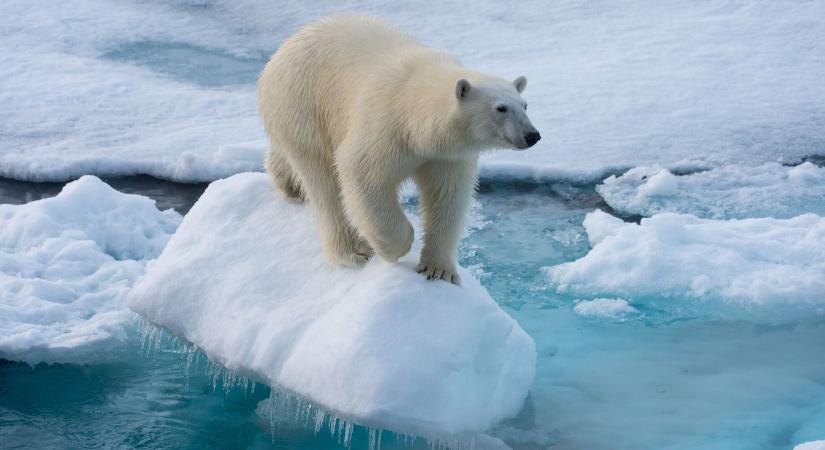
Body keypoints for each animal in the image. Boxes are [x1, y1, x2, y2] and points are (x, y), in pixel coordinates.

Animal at [260, 17, 540, 284]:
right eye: (501, 108)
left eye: (525, 105)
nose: (532, 135)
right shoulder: (385, 126)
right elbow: (362, 174)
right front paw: (397, 247)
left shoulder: (446, 155)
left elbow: (448, 197)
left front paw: (439, 269)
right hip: (303, 106)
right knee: (324, 183)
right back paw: (354, 252)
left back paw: (288, 184)